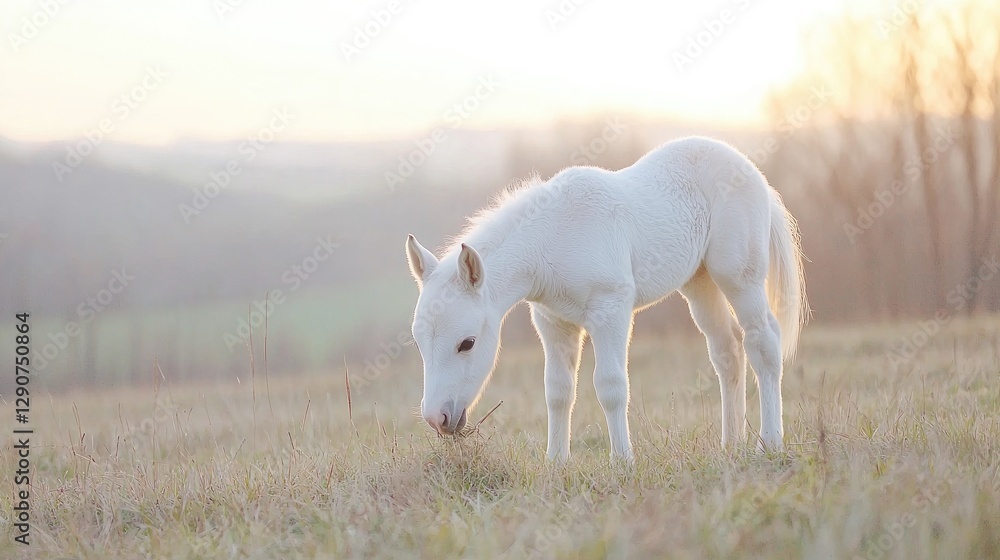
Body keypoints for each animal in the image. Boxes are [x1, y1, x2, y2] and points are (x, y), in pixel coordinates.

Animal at [404, 136, 808, 462]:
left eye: (467, 343)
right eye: (420, 344)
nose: (437, 418)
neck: (554, 236)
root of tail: (753, 171)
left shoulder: (610, 311)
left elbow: (611, 386)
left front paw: (623, 462)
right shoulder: (554, 323)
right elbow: (558, 391)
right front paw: (556, 463)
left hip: (739, 278)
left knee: (763, 344)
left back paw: (769, 444)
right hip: (700, 283)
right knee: (728, 351)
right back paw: (730, 445)